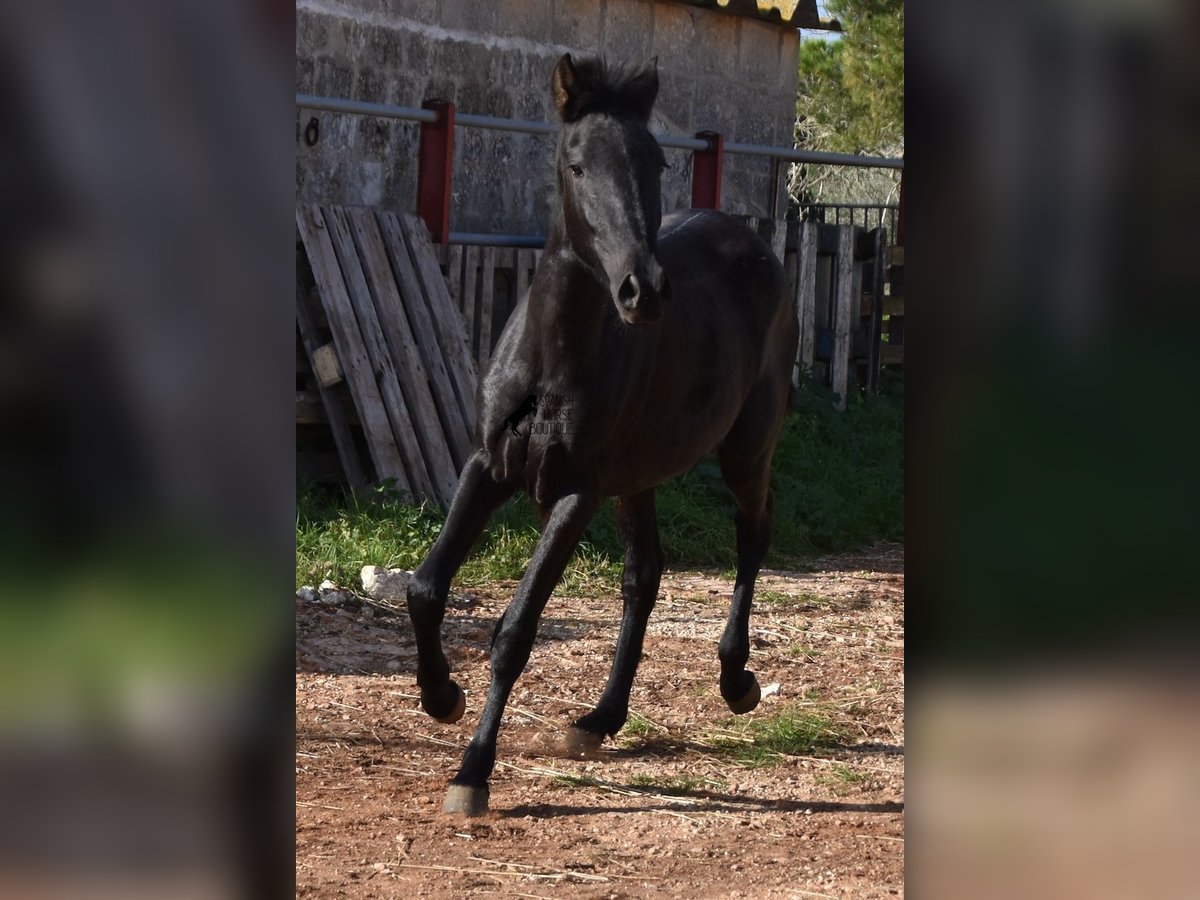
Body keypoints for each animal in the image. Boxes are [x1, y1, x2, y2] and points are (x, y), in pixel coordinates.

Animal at [408, 56, 801, 816]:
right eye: (577, 162)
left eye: (654, 162)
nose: (643, 291)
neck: (551, 360)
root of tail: (756, 246)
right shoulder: (488, 467)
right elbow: (425, 588)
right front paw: (442, 697)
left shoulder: (576, 492)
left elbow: (514, 631)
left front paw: (472, 772)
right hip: (639, 476)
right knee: (644, 575)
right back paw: (600, 719)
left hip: (745, 449)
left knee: (755, 532)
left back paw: (736, 679)